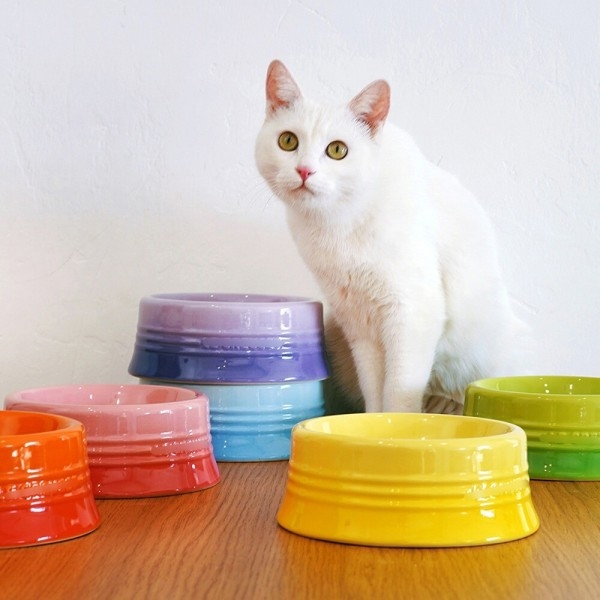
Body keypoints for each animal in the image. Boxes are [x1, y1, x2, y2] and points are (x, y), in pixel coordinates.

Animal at [255, 59, 528, 414]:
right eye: (288, 141)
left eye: (337, 150)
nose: (304, 171)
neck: (336, 224)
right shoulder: (360, 326)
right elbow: (374, 391)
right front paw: (369, 423)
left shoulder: (412, 313)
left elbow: (398, 392)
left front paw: (399, 425)